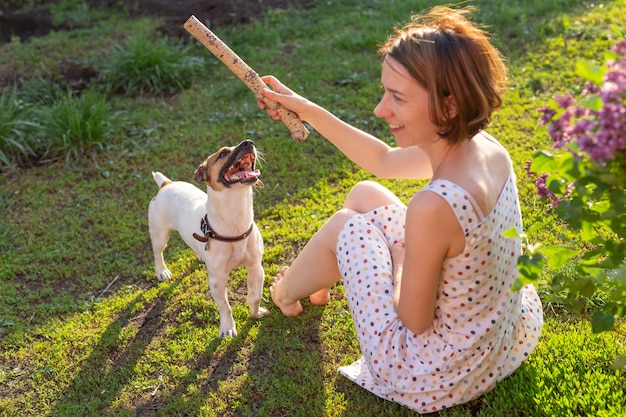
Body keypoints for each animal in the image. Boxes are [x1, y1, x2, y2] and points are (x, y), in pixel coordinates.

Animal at [150, 140, 270, 338]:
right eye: (223, 154)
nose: (248, 142)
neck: (236, 220)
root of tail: (166, 184)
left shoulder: (255, 268)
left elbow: (255, 295)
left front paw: (255, 312)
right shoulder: (217, 281)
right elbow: (226, 307)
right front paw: (227, 328)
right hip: (160, 234)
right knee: (157, 253)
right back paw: (162, 271)